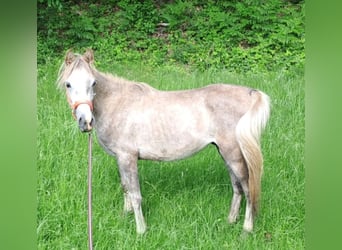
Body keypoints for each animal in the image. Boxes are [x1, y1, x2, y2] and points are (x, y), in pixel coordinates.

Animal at [56, 49, 270, 234]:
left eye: (93, 83)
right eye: (68, 84)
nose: (85, 122)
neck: (117, 103)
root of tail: (250, 93)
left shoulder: (128, 157)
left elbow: (135, 195)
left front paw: (141, 230)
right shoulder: (120, 159)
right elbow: (125, 187)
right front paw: (125, 217)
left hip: (233, 154)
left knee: (247, 188)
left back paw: (246, 229)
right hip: (225, 153)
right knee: (237, 187)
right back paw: (230, 221)